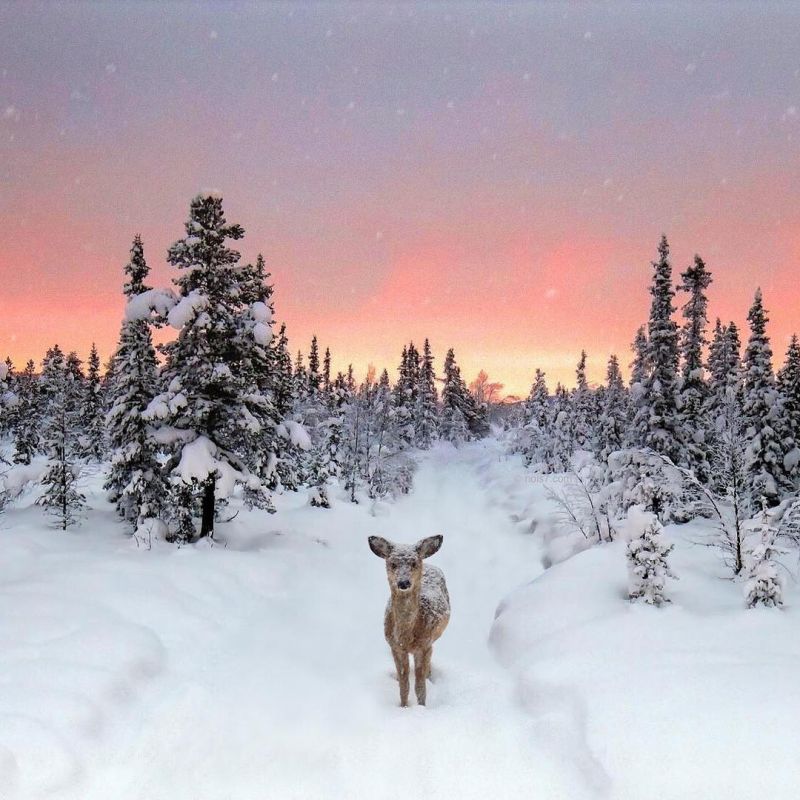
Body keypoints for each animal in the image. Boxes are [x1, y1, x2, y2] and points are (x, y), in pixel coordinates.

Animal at [368, 536, 450, 708]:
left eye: (413, 563)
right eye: (392, 564)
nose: (404, 583)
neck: (406, 637)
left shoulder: (424, 645)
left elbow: (419, 686)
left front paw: (422, 707)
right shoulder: (395, 647)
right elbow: (404, 684)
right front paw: (404, 706)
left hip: (431, 641)